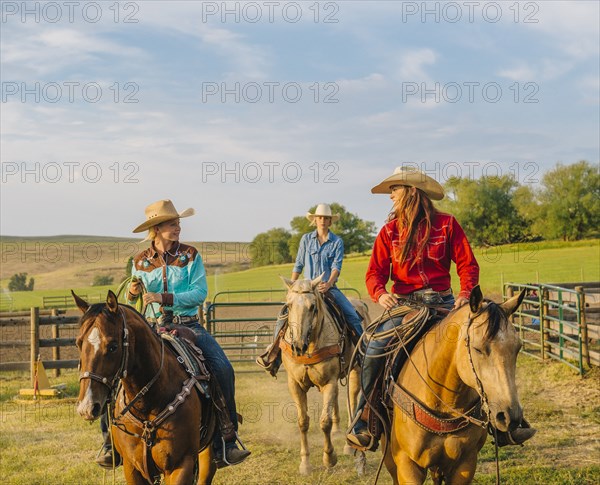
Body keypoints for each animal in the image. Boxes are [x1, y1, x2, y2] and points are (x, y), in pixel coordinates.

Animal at [73, 290, 217, 482]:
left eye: (113, 346)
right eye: (78, 343)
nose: (87, 408)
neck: (149, 404)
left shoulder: (181, 465)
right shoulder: (131, 467)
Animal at [280, 274, 370, 474]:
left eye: (312, 306)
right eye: (288, 306)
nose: (298, 345)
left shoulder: (329, 382)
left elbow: (324, 422)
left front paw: (329, 458)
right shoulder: (295, 384)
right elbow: (303, 422)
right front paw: (305, 464)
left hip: (355, 371)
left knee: (352, 402)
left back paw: (348, 444)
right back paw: (338, 430)